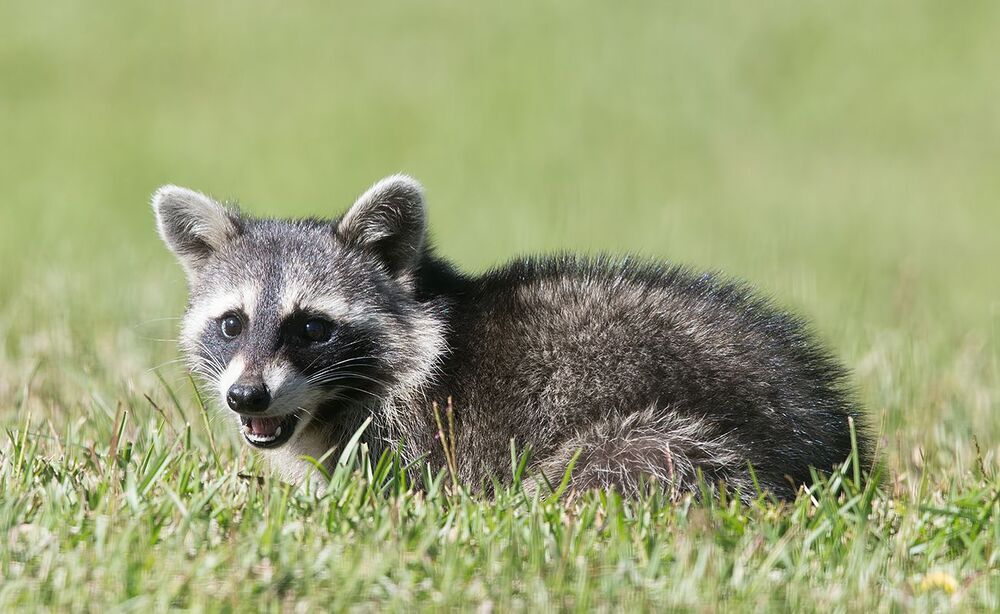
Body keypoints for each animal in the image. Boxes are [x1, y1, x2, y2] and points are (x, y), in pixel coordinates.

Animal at [153, 175, 870, 500]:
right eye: (233, 323)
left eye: (311, 327)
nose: (247, 396)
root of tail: (837, 452)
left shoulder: (418, 436)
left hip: (680, 440)